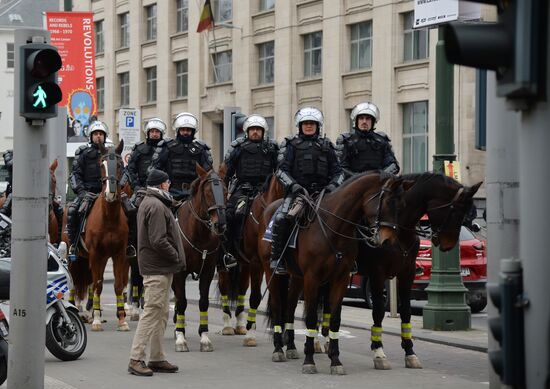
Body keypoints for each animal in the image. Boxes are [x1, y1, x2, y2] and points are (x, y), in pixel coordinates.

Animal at [67, 141, 130, 332]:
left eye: (120, 165)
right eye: (101, 164)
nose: (110, 193)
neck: (108, 217)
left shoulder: (119, 255)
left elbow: (118, 285)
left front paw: (122, 319)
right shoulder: (96, 254)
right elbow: (97, 285)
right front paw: (96, 320)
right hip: (74, 257)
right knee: (74, 282)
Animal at [172, 164, 229, 352]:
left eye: (225, 191)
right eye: (208, 192)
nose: (221, 224)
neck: (198, 234)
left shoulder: (208, 272)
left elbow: (203, 302)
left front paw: (204, 337)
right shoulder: (179, 273)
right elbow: (182, 302)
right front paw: (181, 338)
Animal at [217, 173, 284, 346]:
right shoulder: (257, 263)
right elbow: (255, 297)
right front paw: (251, 335)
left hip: (244, 263)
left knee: (241, 288)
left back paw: (240, 325)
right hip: (223, 263)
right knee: (224, 287)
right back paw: (227, 325)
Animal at [258, 173, 406, 372]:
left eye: (400, 205)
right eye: (387, 202)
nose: (388, 240)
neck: (333, 227)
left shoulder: (340, 279)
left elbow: (335, 319)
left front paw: (335, 360)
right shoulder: (312, 279)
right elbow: (312, 319)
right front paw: (309, 360)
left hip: (296, 278)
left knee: (289, 307)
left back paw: (291, 348)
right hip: (272, 273)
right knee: (277, 307)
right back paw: (278, 350)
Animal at [358, 174, 484, 370]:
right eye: (456, 212)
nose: (449, 246)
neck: (399, 230)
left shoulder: (407, 273)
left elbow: (406, 310)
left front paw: (410, 352)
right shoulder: (377, 273)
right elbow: (378, 310)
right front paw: (378, 352)